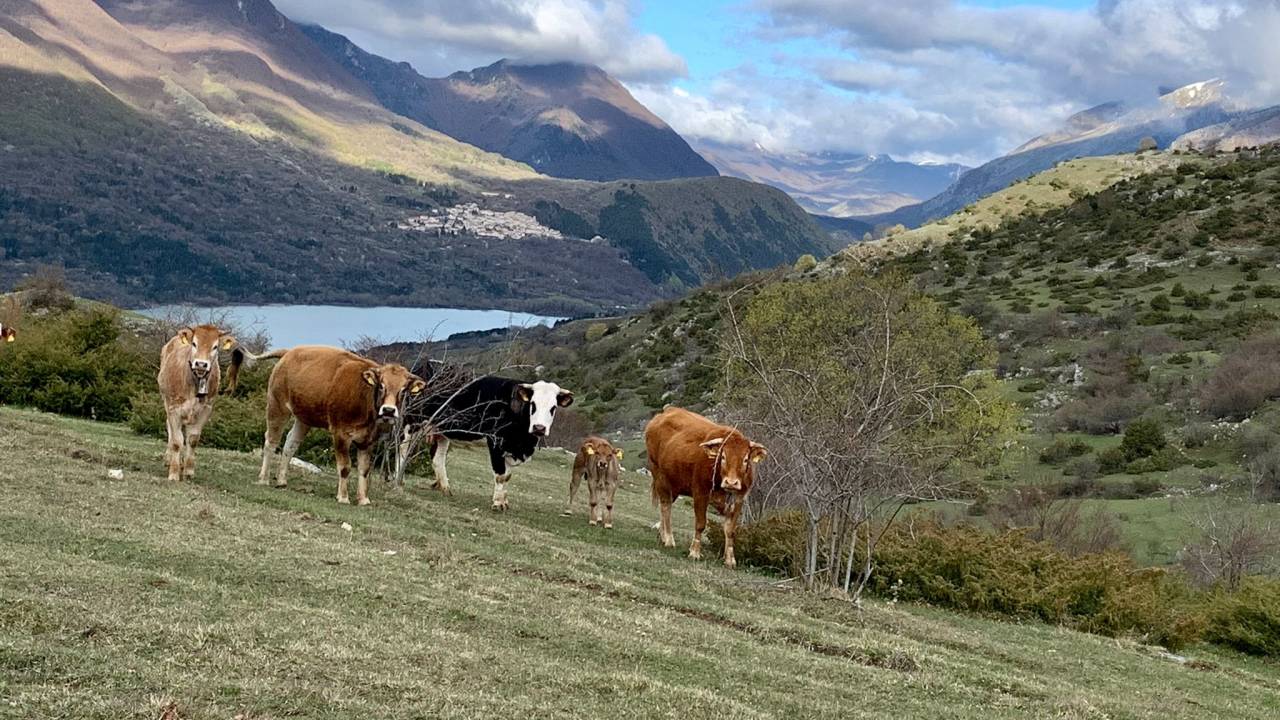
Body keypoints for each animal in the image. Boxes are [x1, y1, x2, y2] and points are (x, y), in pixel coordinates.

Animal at [156, 325, 244, 481]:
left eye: (215, 347)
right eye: (194, 343)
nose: (201, 364)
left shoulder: (205, 409)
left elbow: (193, 439)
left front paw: (188, 471)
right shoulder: (174, 408)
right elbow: (177, 441)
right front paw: (174, 473)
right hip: (166, 400)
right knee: (171, 431)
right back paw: (169, 459)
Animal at [258, 343, 424, 502]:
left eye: (403, 390)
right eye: (381, 385)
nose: (389, 410)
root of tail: (290, 352)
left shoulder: (368, 441)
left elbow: (364, 470)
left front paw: (363, 499)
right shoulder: (341, 434)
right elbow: (345, 467)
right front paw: (343, 497)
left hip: (304, 417)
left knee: (291, 444)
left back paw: (281, 481)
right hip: (277, 406)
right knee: (271, 441)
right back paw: (263, 479)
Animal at [399, 363, 576, 509]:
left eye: (553, 408)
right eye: (533, 404)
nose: (539, 428)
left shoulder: (511, 447)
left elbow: (508, 475)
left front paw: (504, 501)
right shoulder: (496, 442)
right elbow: (500, 474)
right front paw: (497, 503)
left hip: (442, 430)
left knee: (438, 459)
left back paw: (446, 489)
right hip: (411, 420)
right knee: (403, 447)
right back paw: (399, 479)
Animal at [645, 404, 762, 566]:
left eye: (745, 459)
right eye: (723, 456)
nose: (731, 483)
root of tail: (668, 410)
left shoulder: (739, 499)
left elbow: (730, 530)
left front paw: (730, 559)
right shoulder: (700, 494)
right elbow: (700, 524)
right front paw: (694, 552)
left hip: (674, 484)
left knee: (665, 507)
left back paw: (662, 536)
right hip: (660, 477)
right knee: (666, 507)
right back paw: (669, 539)